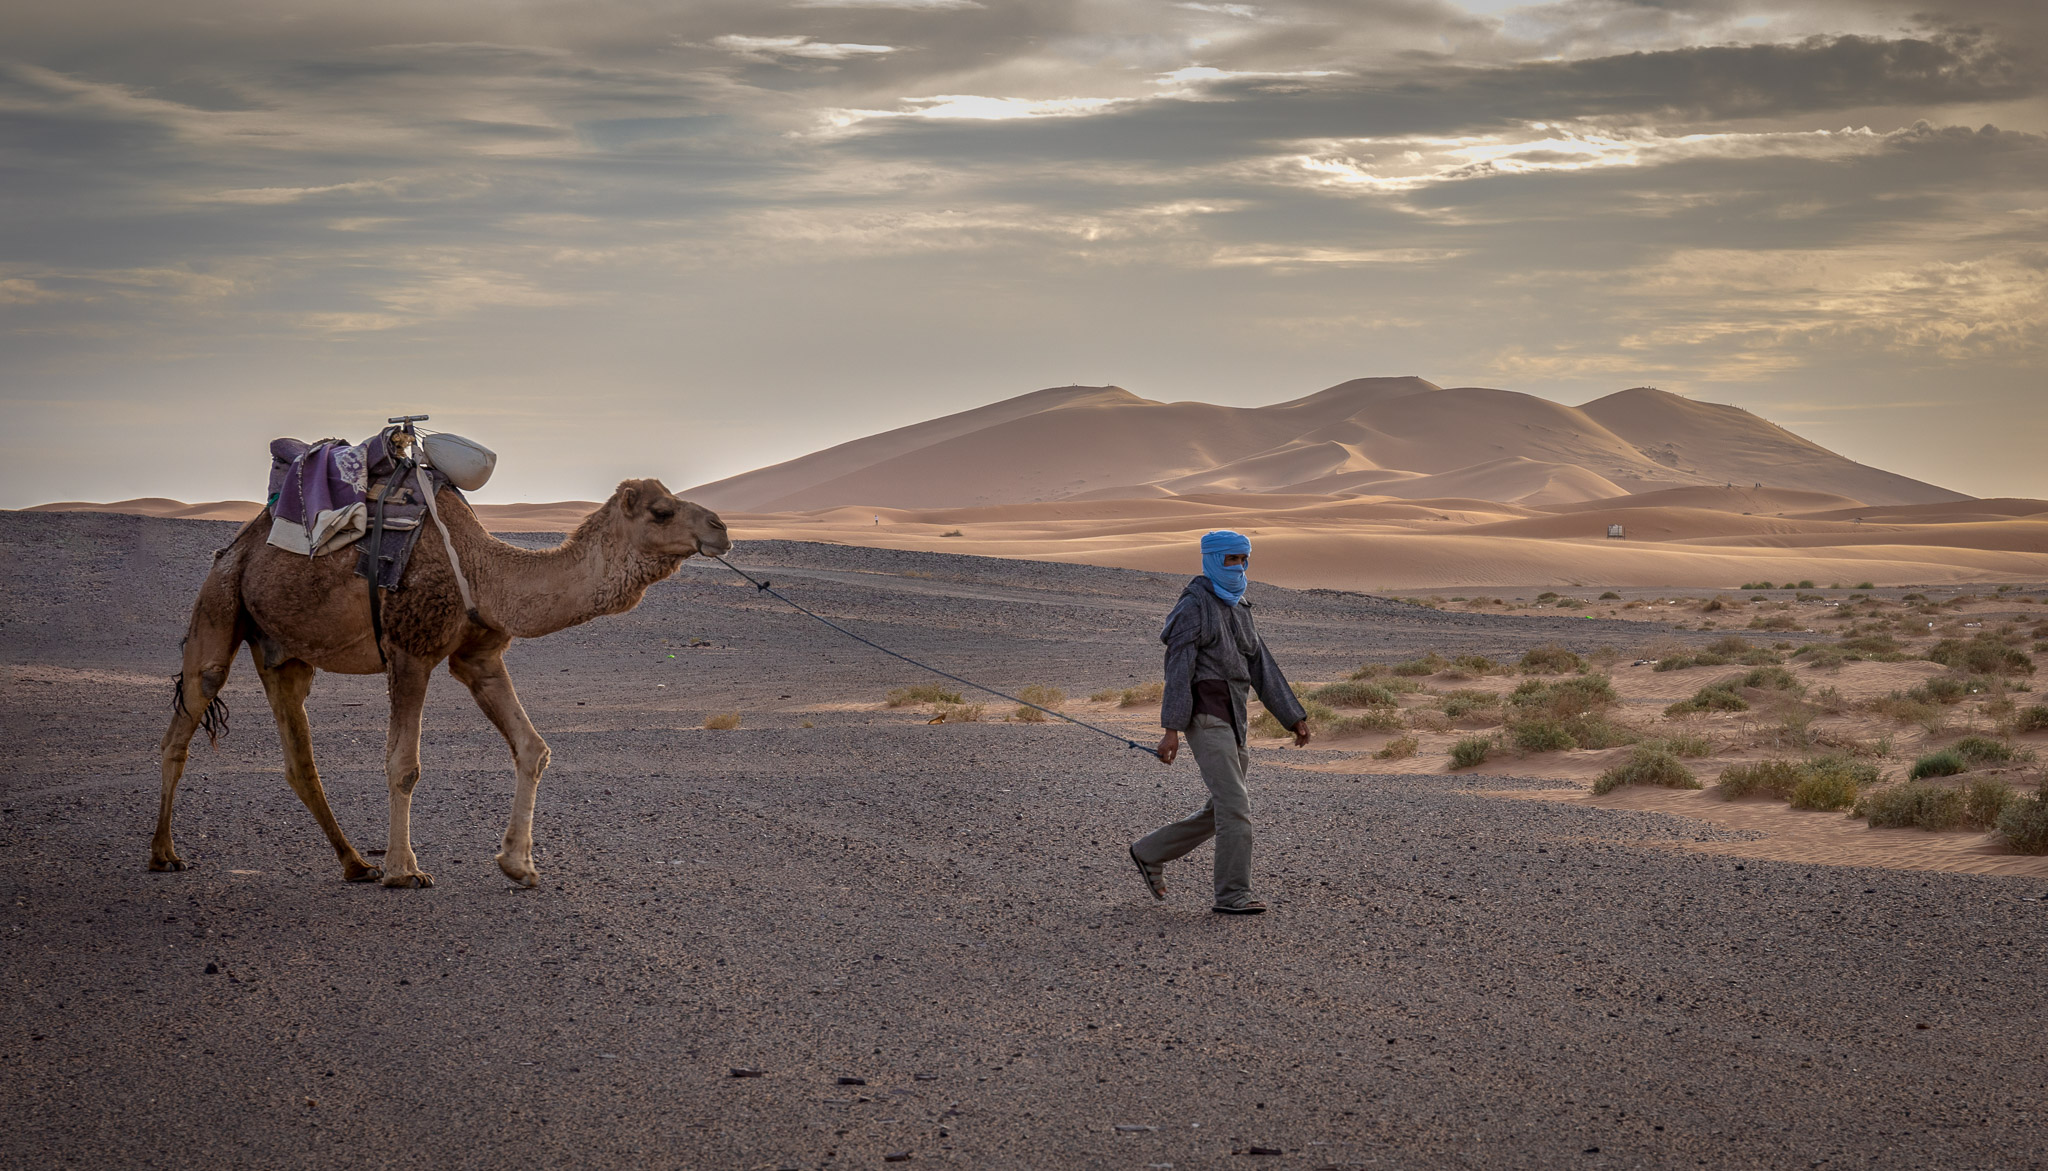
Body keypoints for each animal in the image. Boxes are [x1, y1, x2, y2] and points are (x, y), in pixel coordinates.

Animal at [153, 468, 729, 888]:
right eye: (661, 510)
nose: (720, 528)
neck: (482, 572)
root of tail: (239, 542)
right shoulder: (410, 650)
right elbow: (403, 764)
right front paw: (405, 871)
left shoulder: (479, 657)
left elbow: (532, 747)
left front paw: (519, 865)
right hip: (220, 599)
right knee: (187, 718)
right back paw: (164, 853)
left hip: (283, 652)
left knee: (300, 762)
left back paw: (355, 864)